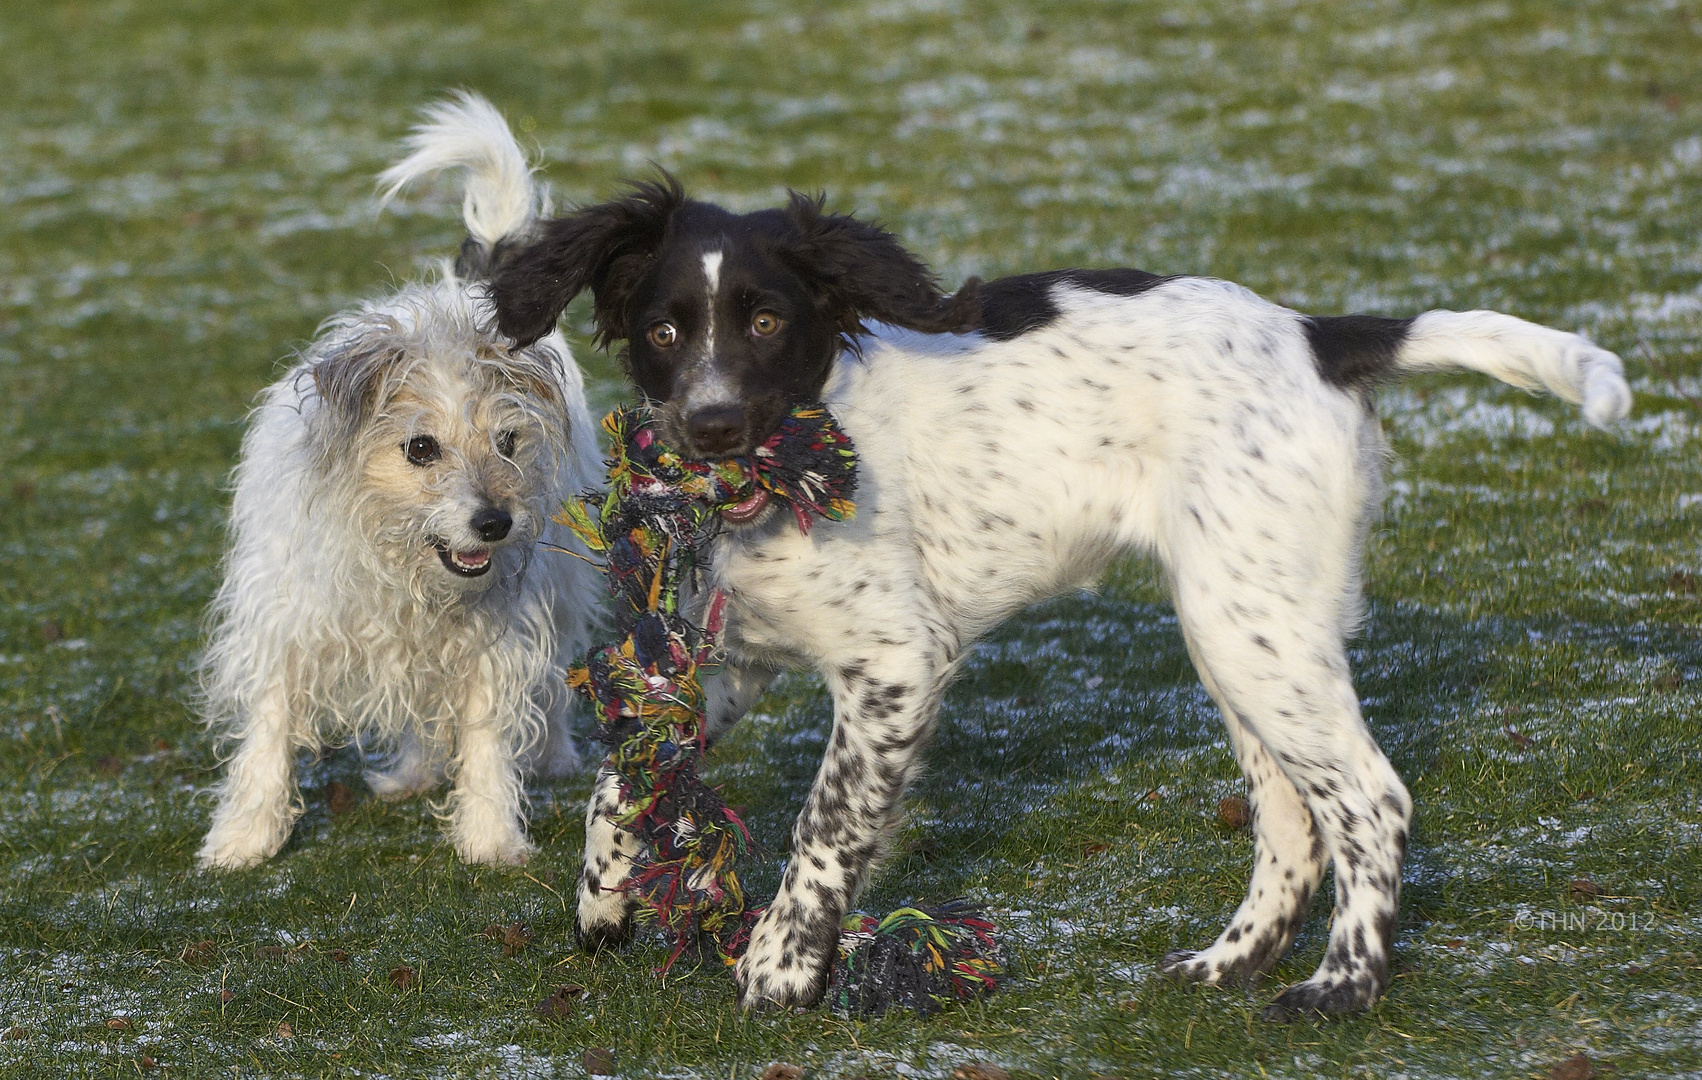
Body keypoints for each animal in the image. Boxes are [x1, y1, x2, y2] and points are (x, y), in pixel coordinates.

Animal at [490, 173, 1620, 1020]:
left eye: (767, 320)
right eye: (663, 332)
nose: (713, 426)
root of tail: (1314, 334)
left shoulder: (895, 664)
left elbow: (825, 821)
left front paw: (782, 963)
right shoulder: (735, 658)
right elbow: (629, 768)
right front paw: (604, 900)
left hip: (1250, 625)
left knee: (1370, 801)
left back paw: (1339, 989)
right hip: (1239, 626)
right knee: (1291, 820)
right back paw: (1227, 964)